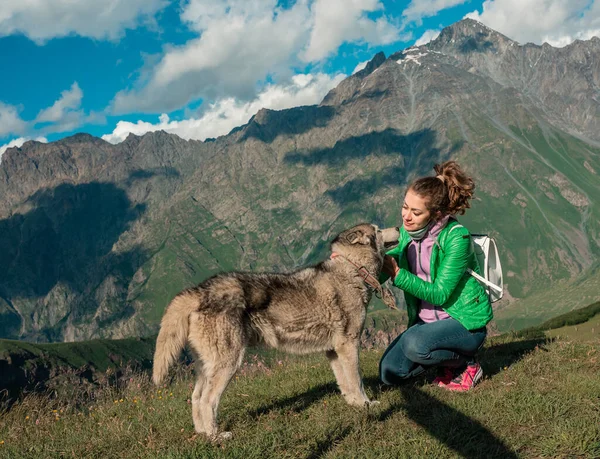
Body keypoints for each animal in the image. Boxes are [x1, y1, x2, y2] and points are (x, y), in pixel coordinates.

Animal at [152, 225, 400, 440]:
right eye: (378, 230)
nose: (398, 227)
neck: (352, 270)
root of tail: (198, 290)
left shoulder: (333, 350)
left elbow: (345, 383)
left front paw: (355, 405)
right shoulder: (349, 344)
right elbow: (357, 381)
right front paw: (367, 405)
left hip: (206, 366)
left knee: (195, 397)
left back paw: (203, 434)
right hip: (228, 364)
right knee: (207, 400)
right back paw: (216, 437)